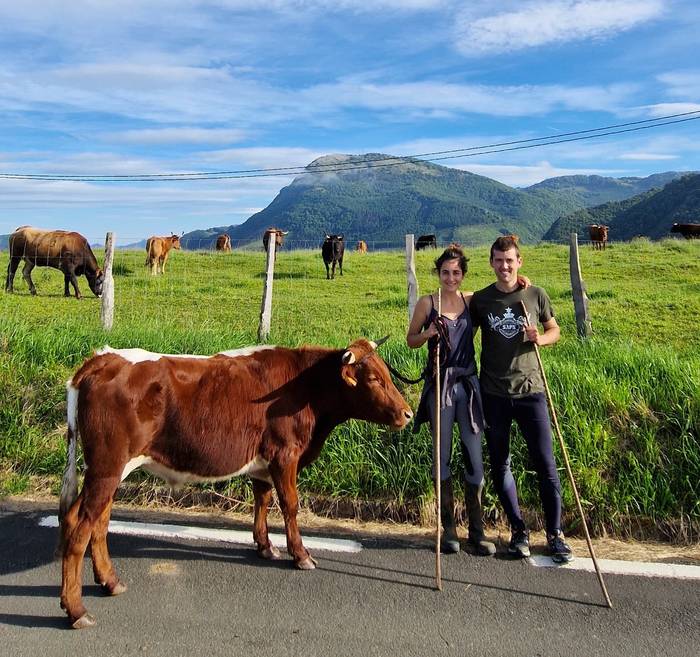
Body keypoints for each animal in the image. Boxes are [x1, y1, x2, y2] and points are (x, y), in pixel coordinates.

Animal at [60, 338, 412, 624]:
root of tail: (102, 358)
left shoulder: (264, 461)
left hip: (109, 469)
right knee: (79, 525)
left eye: (387, 374)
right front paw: (300, 555)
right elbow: (290, 505)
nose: (407, 413)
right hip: (107, 466)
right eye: (374, 378)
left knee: (96, 521)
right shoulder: (285, 455)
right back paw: (76, 609)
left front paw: (265, 546)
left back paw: (110, 581)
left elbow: (263, 500)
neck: (305, 388)